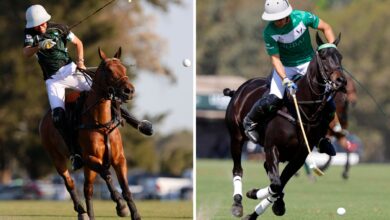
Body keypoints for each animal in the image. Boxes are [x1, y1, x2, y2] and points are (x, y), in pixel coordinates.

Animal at [39, 47, 140, 220]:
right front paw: (121, 206)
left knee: (88, 189)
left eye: (124, 69)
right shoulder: (89, 157)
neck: (102, 124)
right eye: (109, 70)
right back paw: (81, 211)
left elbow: (126, 187)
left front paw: (134, 213)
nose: (129, 91)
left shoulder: (119, 158)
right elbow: (106, 174)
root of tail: (45, 118)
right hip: (57, 157)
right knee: (70, 183)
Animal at [225, 33, 348, 218]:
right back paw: (237, 203)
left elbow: (280, 182)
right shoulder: (272, 147)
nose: (341, 81)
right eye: (323, 56)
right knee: (238, 169)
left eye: (340, 57)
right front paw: (253, 194)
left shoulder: (300, 155)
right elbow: (276, 184)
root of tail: (239, 89)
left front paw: (275, 204)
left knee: (270, 173)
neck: (302, 109)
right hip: (236, 137)